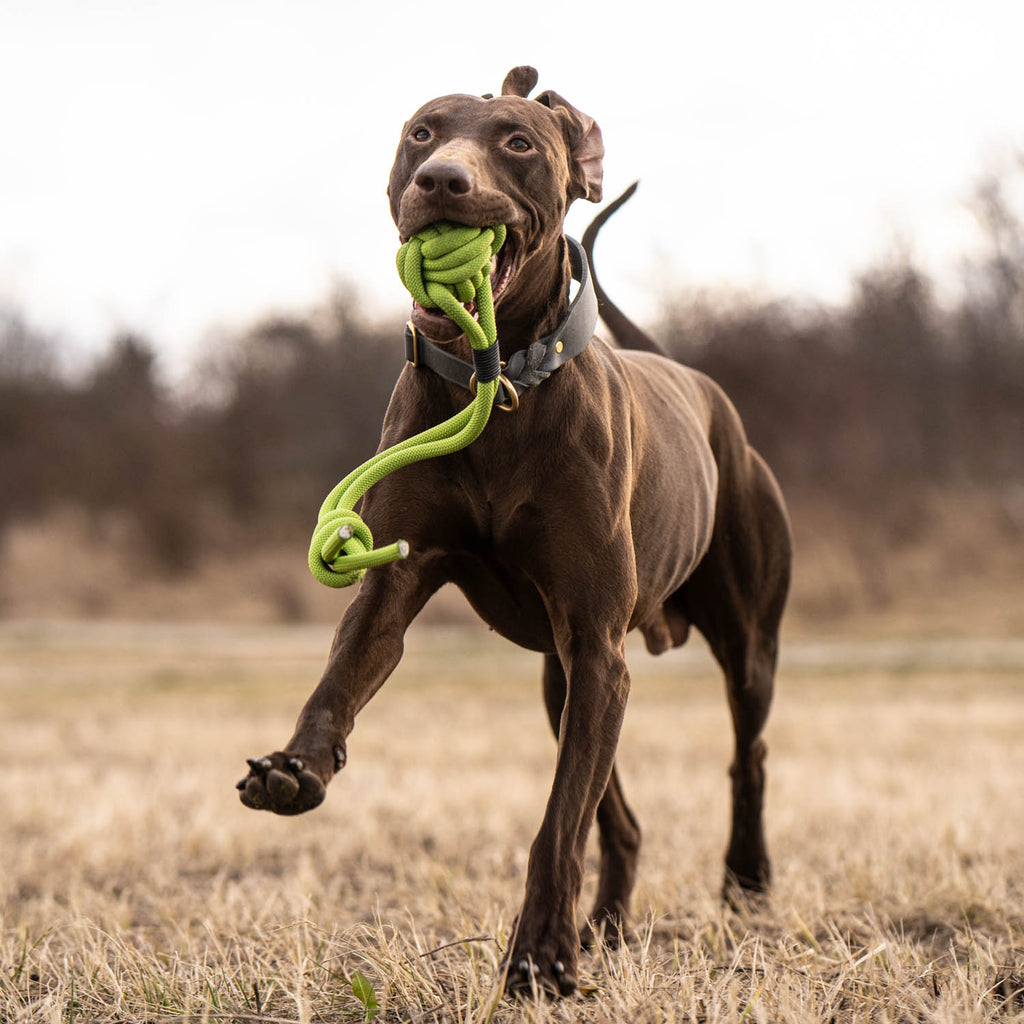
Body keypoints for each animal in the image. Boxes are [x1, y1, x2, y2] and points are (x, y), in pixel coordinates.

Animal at [237, 68, 790, 995]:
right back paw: (606, 925)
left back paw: (743, 882)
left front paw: (538, 952)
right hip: (563, 680)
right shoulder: (399, 583)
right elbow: (340, 680)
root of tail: (699, 384)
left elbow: (556, 822)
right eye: (422, 133)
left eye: (519, 141)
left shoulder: (597, 640)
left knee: (743, 754)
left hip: (739, 639)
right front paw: (296, 767)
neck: (498, 390)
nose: (441, 182)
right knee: (619, 818)